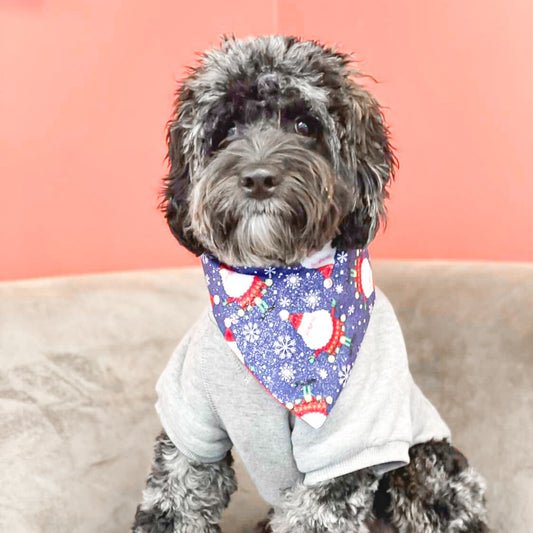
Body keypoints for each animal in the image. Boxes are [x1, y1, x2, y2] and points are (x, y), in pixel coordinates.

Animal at [131, 35, 488, 528]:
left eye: (304, 124)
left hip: (426, 467)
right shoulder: (191, 429)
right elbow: (175, 499)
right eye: (226, 129)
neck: (276, 287)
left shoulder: (344, 448)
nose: (258, 178)